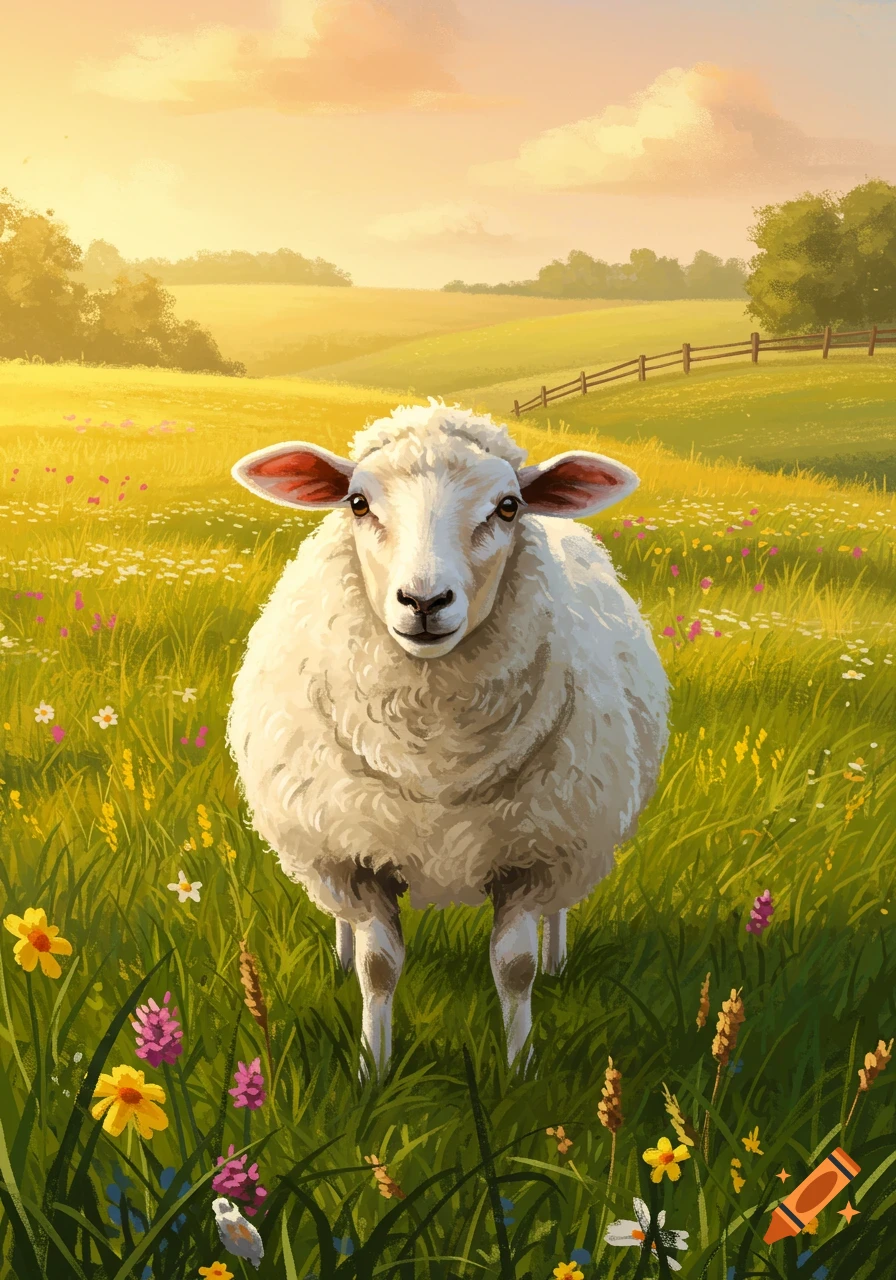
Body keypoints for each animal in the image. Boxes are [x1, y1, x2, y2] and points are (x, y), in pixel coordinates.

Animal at [227, 400, 669, 1073]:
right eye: (358, 502)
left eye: (508, 506)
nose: (425, 601)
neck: (436, 754)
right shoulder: (355, 853)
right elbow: (379, 967)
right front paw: (373, 1068)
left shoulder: (537, 851)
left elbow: (515, 968)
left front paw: (519, 1071)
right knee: (340, 921)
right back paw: (338, 954)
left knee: (558, 913)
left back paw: (559, 961)